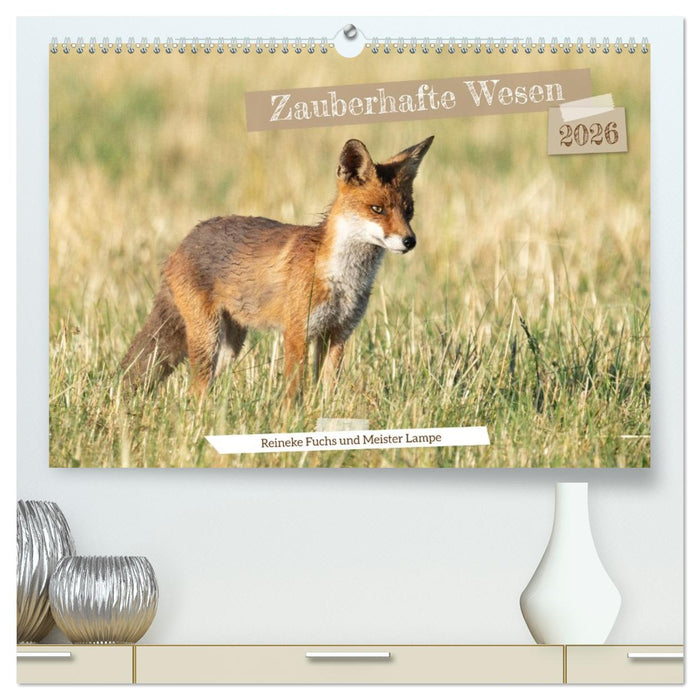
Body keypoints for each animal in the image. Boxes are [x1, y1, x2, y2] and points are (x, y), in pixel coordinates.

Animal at [121, 135, 434, 398]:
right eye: (377, 209)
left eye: (408, 211)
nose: (409, 241)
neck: (342, 279)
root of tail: (181, 244)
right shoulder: (296, 333)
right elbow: (293, 391)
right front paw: (291, 421)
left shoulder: (337, 334)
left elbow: (327, 391)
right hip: (207, 337)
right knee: (195, 390)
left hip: (230, 345)